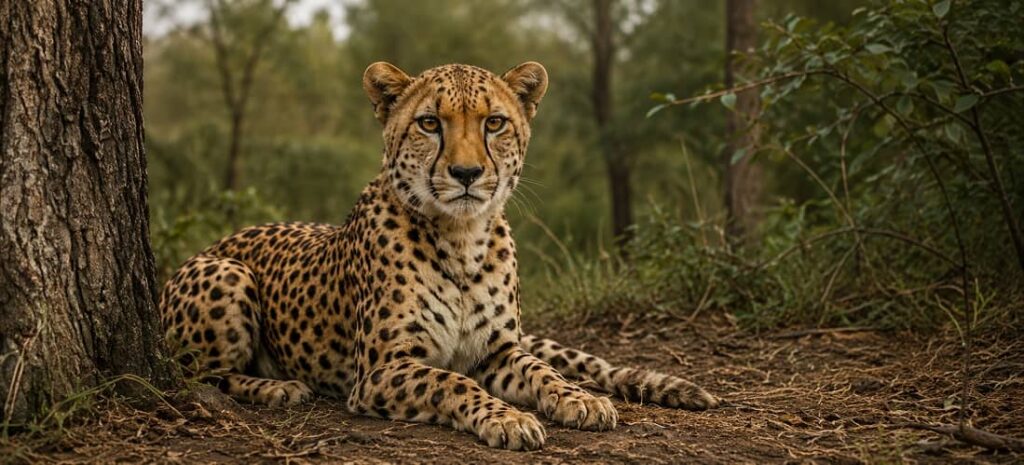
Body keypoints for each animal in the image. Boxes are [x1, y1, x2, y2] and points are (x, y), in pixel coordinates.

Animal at [159, 61, 720, 450]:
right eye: (429, 123)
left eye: (494, 123)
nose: (467, 173)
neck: (462, 237)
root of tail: (220, 243)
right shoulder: (381, 370)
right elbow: (451, 380)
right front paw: (507, 418)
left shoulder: (497, 351)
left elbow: (542, 369)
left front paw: (577, 398)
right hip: (228, 273)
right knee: (201, 375)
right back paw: (277, 389)